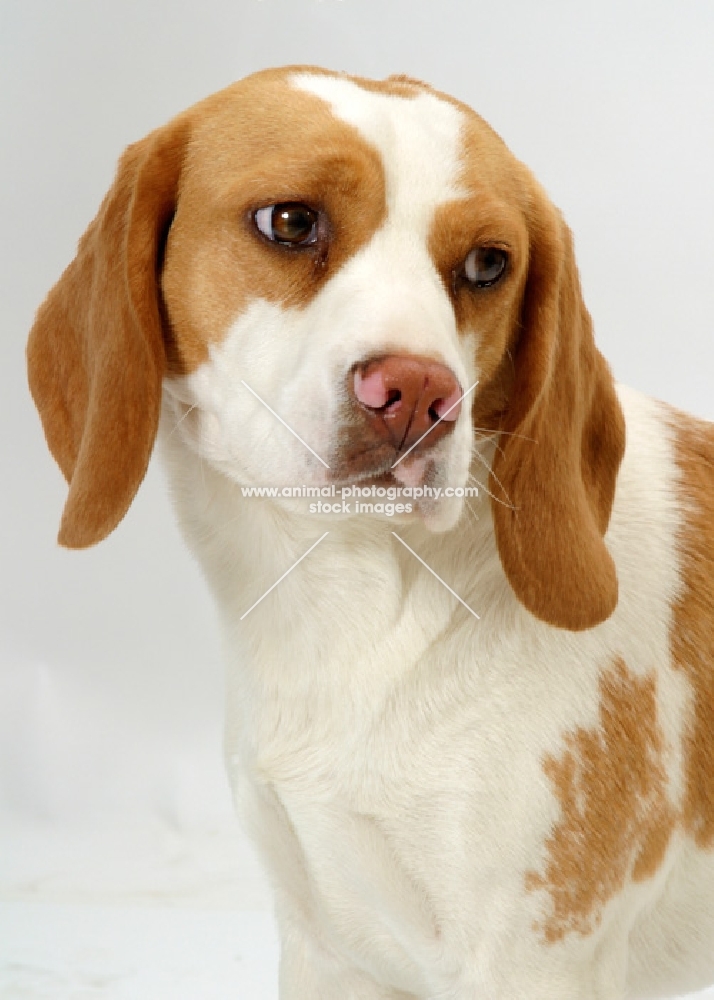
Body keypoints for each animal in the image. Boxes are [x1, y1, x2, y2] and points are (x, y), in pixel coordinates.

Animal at [25, 66, 708, 996]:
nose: (419, 394)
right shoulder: (326, 947)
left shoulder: (531, 962)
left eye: (488, 263)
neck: (352, 611)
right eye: (289, 221)